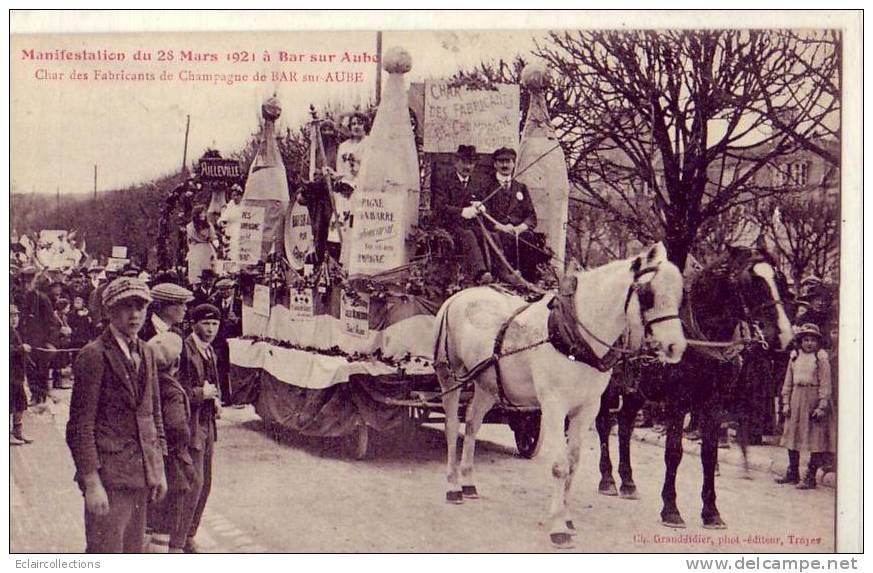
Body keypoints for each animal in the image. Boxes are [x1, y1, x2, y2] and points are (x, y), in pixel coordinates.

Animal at [432, 241, 684, 544]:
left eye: (681, 295)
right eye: (648, 295)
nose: (675, 347)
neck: (575, 336)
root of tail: (460, 296)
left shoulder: (587, 409)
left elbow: (573, 464)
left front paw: (567, 517)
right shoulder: (554, 406)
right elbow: (559, 465)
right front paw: (558, 526)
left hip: (486, 384)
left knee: (471, 424)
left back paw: (468, 482)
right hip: (450, 374)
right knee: (451, 426)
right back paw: (453, 486)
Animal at [592, 246, 792, 528]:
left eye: (779, 280)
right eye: (752, 281)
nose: (784, 336)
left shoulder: (714, 405)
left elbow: (709, 454)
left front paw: (711, 512)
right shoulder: (678, 402)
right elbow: (674, 452)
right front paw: (671, 509)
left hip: (636, 393)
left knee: (624, 425)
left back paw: (628, 482)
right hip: (607, 388)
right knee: (604, 423)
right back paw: (608, 478)